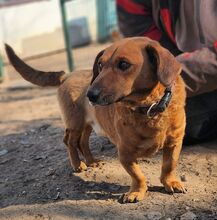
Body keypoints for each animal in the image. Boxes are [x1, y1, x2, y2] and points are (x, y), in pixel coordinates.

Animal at [5, 36, 186, 203]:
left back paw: (91, 161)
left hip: (89, 125)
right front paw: (136, 191)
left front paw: (170, 182)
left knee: (81, 142)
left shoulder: (174, 142)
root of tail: (67, 75)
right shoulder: (125, 153)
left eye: (123, 64)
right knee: (70, 141)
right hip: (76, 123)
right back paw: (78, 164)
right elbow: (138, 175)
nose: (90, 95)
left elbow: (169, 165)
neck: (149, 108)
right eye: (100, 65)